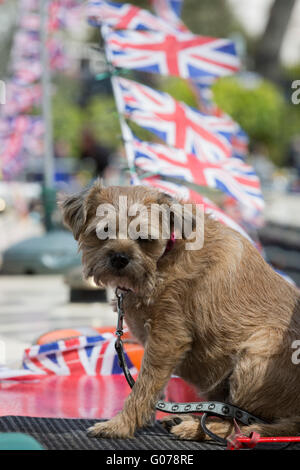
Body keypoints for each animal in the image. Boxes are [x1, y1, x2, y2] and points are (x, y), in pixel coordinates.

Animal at [60, 181, 300, 440]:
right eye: (103, 231)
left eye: (144, 238)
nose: (119, 258)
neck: (165, 256)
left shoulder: (167, 339)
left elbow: (143, 386)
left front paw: (120, 425)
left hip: (261, 349)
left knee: (236, 423)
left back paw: (196, 429)